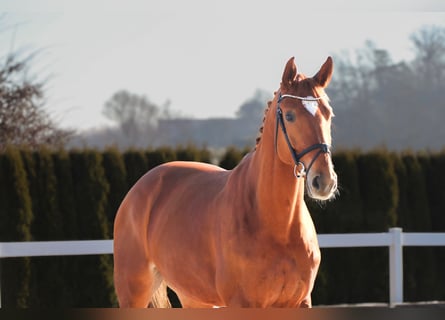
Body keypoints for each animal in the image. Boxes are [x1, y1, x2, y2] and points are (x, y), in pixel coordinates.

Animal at [113, 57, 336, 308]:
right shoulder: (242, 303)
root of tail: (140, 187)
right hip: (134, 294)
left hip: (194, 297)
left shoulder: (300, 302)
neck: (278, 226)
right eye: (289, 116)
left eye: (328, 114)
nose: (324, 181)